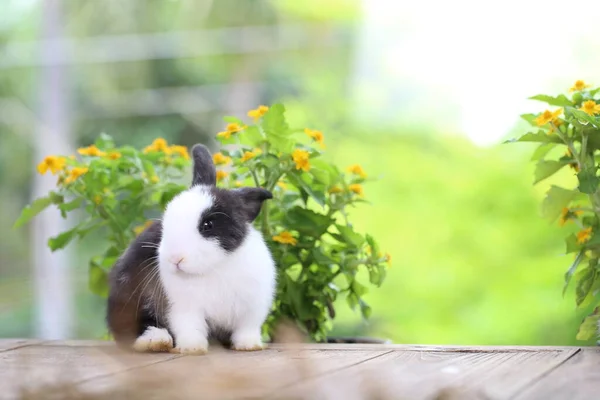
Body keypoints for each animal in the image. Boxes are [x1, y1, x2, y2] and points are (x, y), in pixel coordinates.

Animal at [106, 142, 276, 354]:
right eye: (166, 220)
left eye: (208, 225)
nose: (174, 258)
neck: (214, 268)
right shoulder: (184, 308)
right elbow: (190, 328)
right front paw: (192, 348)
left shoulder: (252, 309)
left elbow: (246, 329)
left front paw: (249, 346)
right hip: (129, 295)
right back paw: (155, 341)